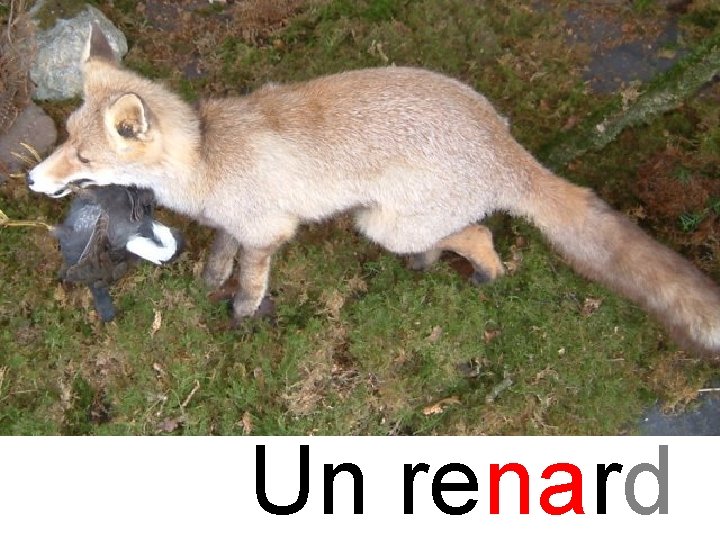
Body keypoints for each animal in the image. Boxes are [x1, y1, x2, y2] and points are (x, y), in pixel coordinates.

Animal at [27, 24, 720, 356]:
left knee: (480, 232)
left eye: (83, 157)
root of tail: (505, 146)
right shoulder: (240, 219)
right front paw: (208, 280)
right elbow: (222, 252)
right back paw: (432, 265)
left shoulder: (269, 229)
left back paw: (482, 274)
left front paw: (242, 319)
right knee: (461, 233)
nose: (32, 178)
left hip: (380, 223)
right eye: (63, 139)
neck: (208, 158)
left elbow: (250, 279)